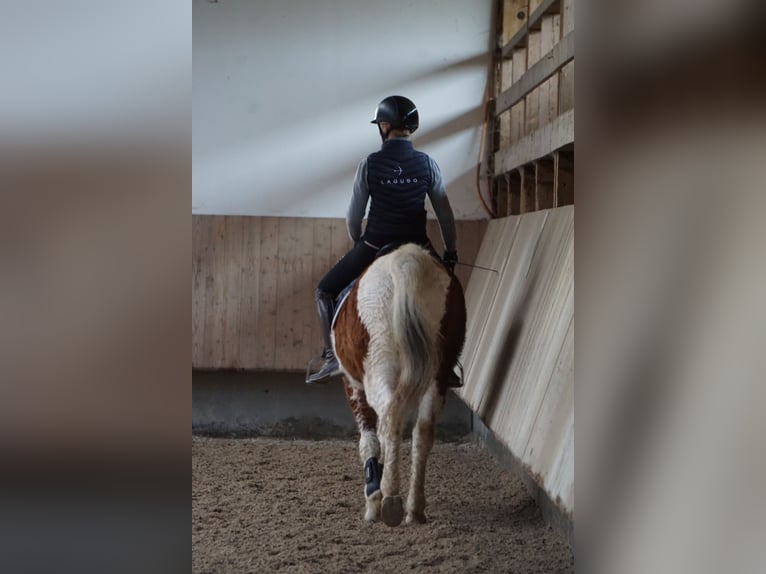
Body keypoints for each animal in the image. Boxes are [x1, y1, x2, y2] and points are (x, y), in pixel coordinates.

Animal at [334, 243, 468, 528]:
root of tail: (406, 262)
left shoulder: (352, 383)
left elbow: (368, 440)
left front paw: (373, 499)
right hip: (438, 373)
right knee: (422, 431)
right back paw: (414, 508)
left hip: (377, 363)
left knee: (390, 416)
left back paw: (390, 499)